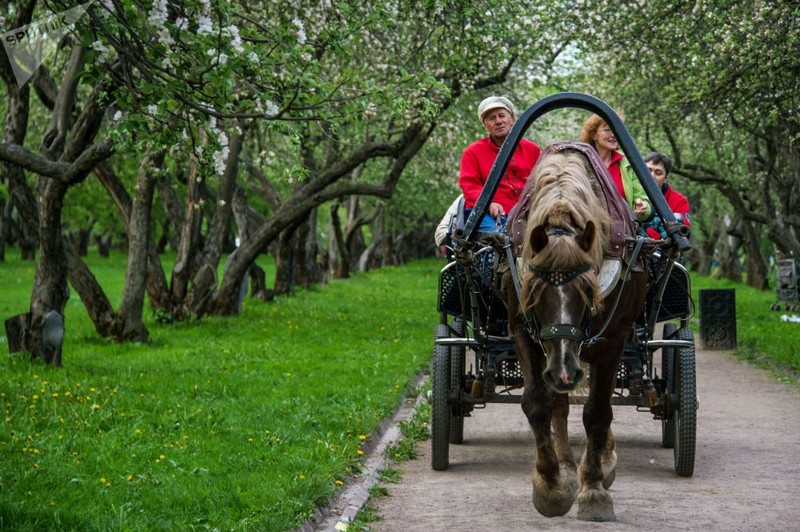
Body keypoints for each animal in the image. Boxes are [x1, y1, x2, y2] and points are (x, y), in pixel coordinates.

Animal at [506, 143, 648, 520]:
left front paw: (594, 491)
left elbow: (598, 412)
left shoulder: (613, 339)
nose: (565, 371)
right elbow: (539, 403)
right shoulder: (522, 329)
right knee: (560, 403)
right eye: (536, 289)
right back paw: (568, 466)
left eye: (587, 289)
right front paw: (551, 486)